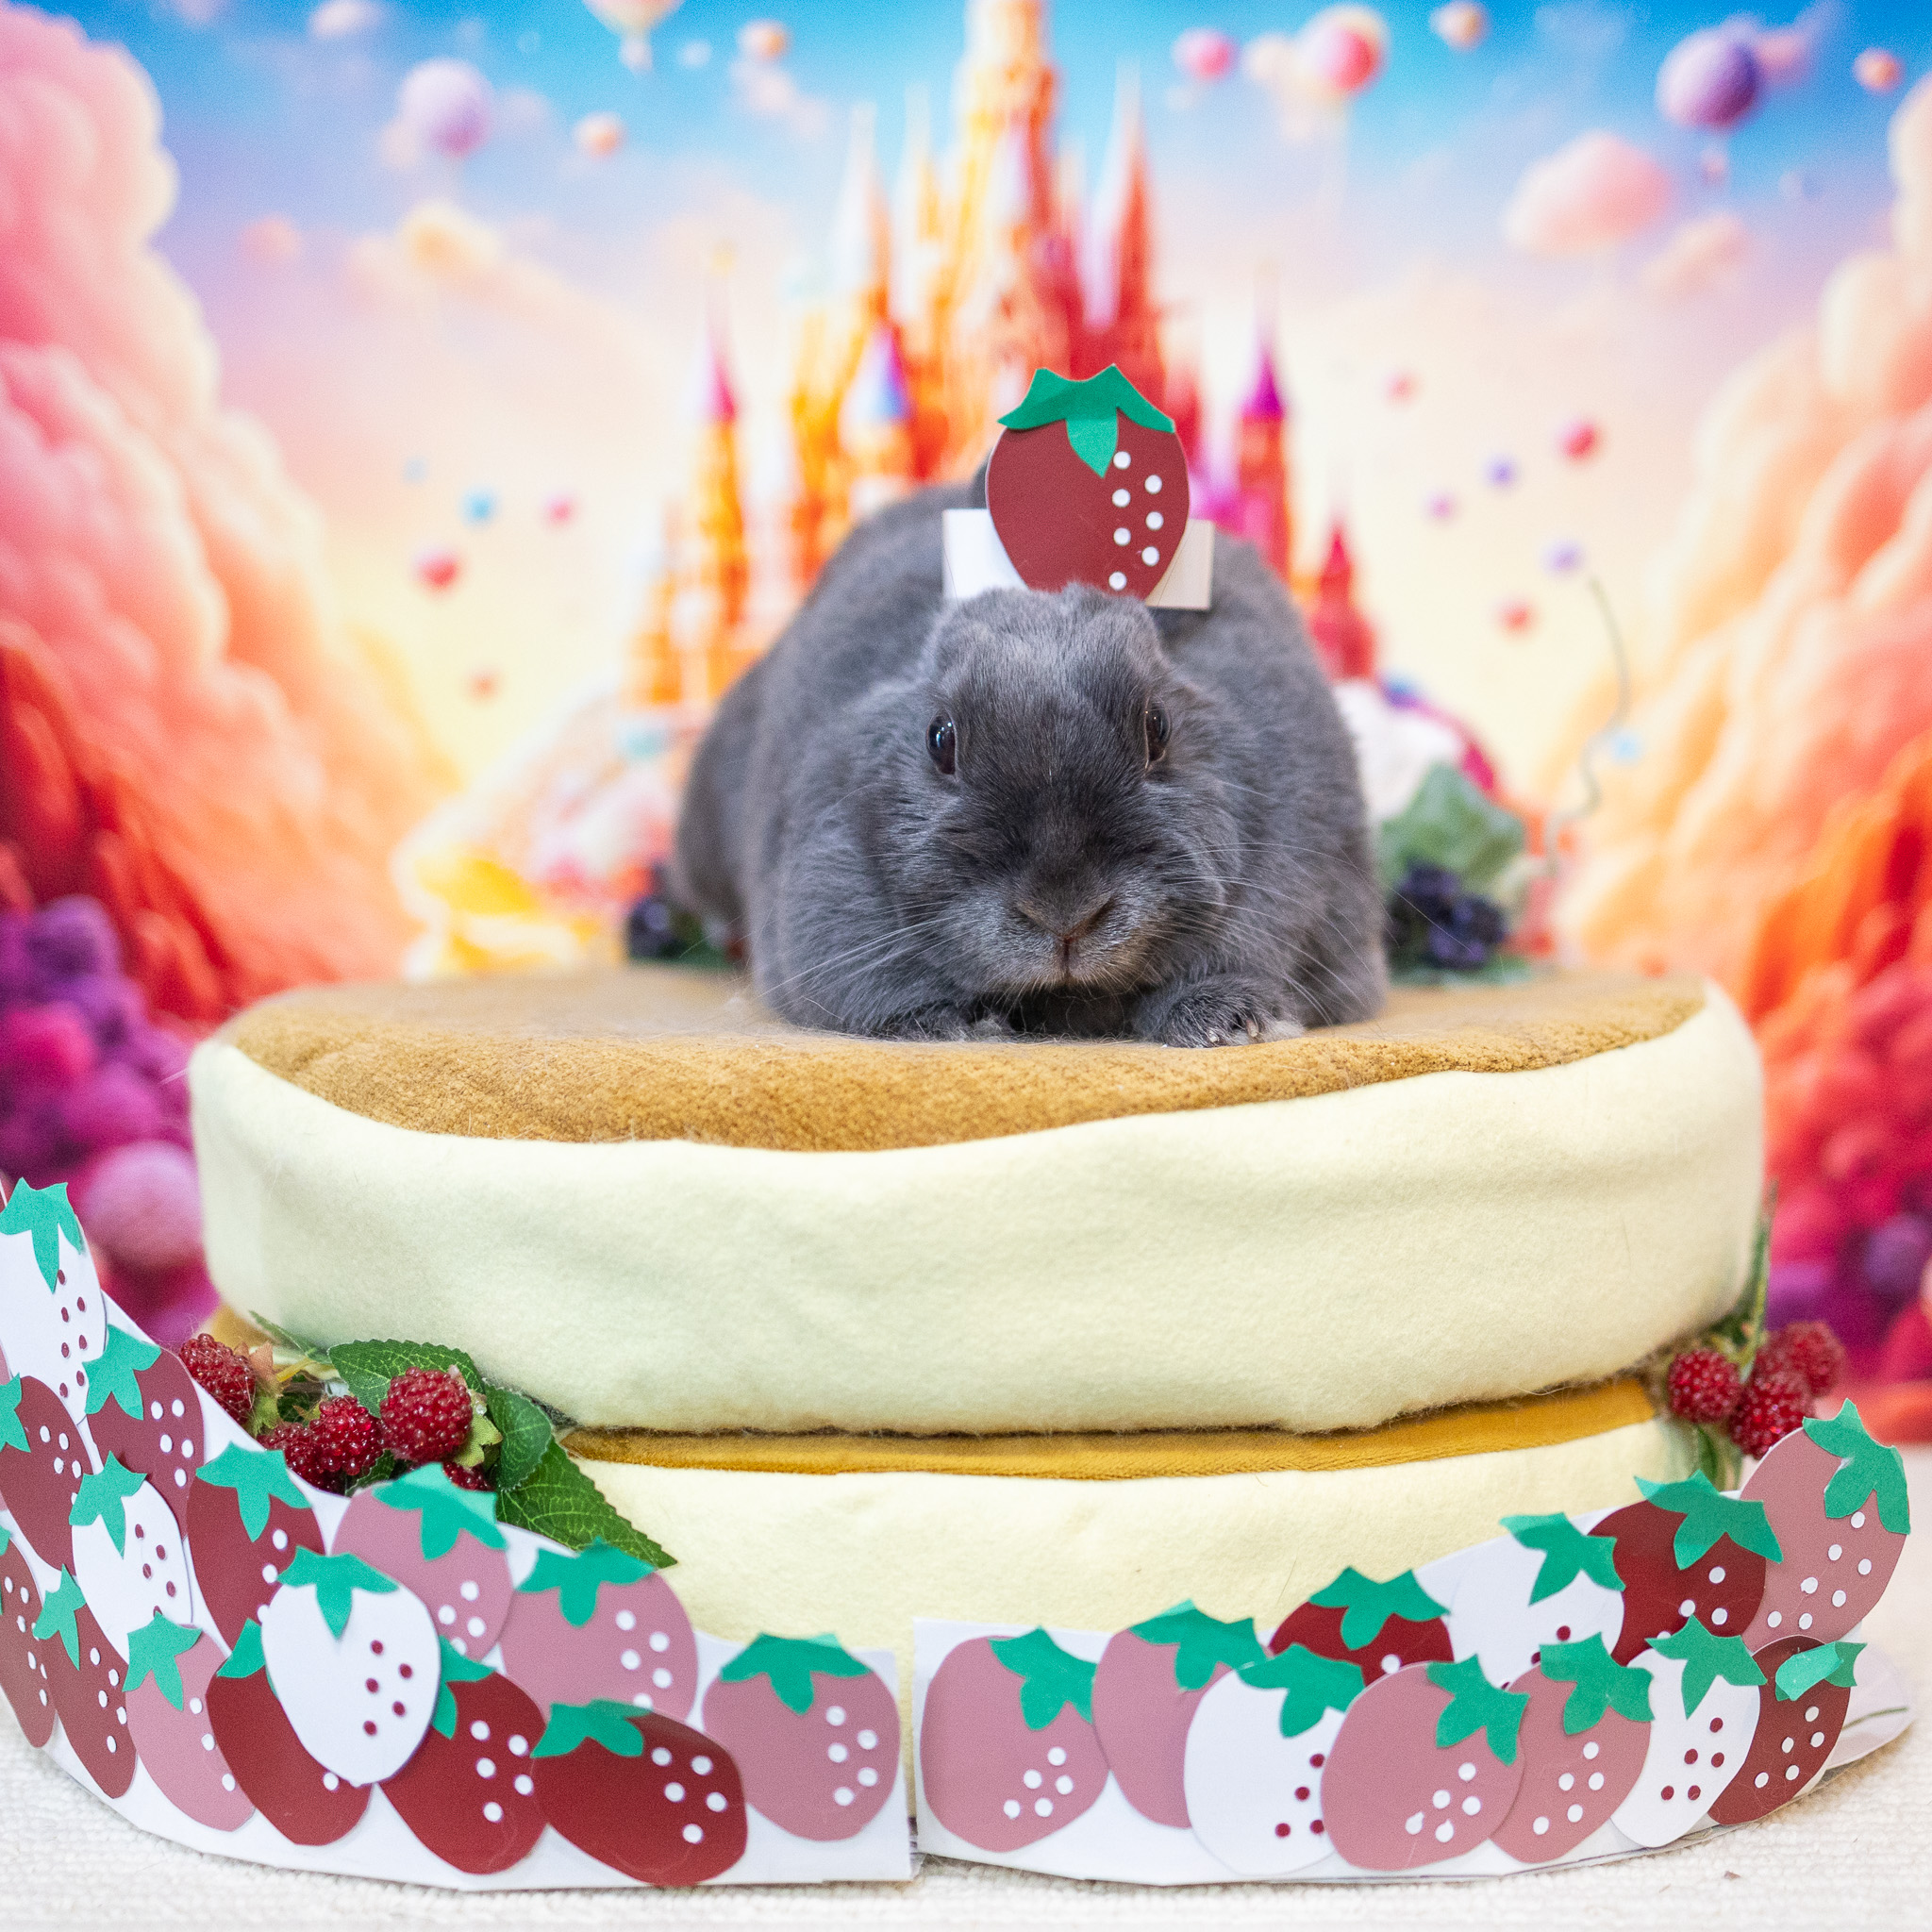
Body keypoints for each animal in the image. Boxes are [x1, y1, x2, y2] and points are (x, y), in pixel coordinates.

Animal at [672, 475, 1387, 1045]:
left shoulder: (1298, 875)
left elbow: (1239, 959)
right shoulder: (829, 887)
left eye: (1157, 728)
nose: (1064, 916)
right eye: (940, 739)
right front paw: (950, 1025)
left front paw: (1225, 1021)